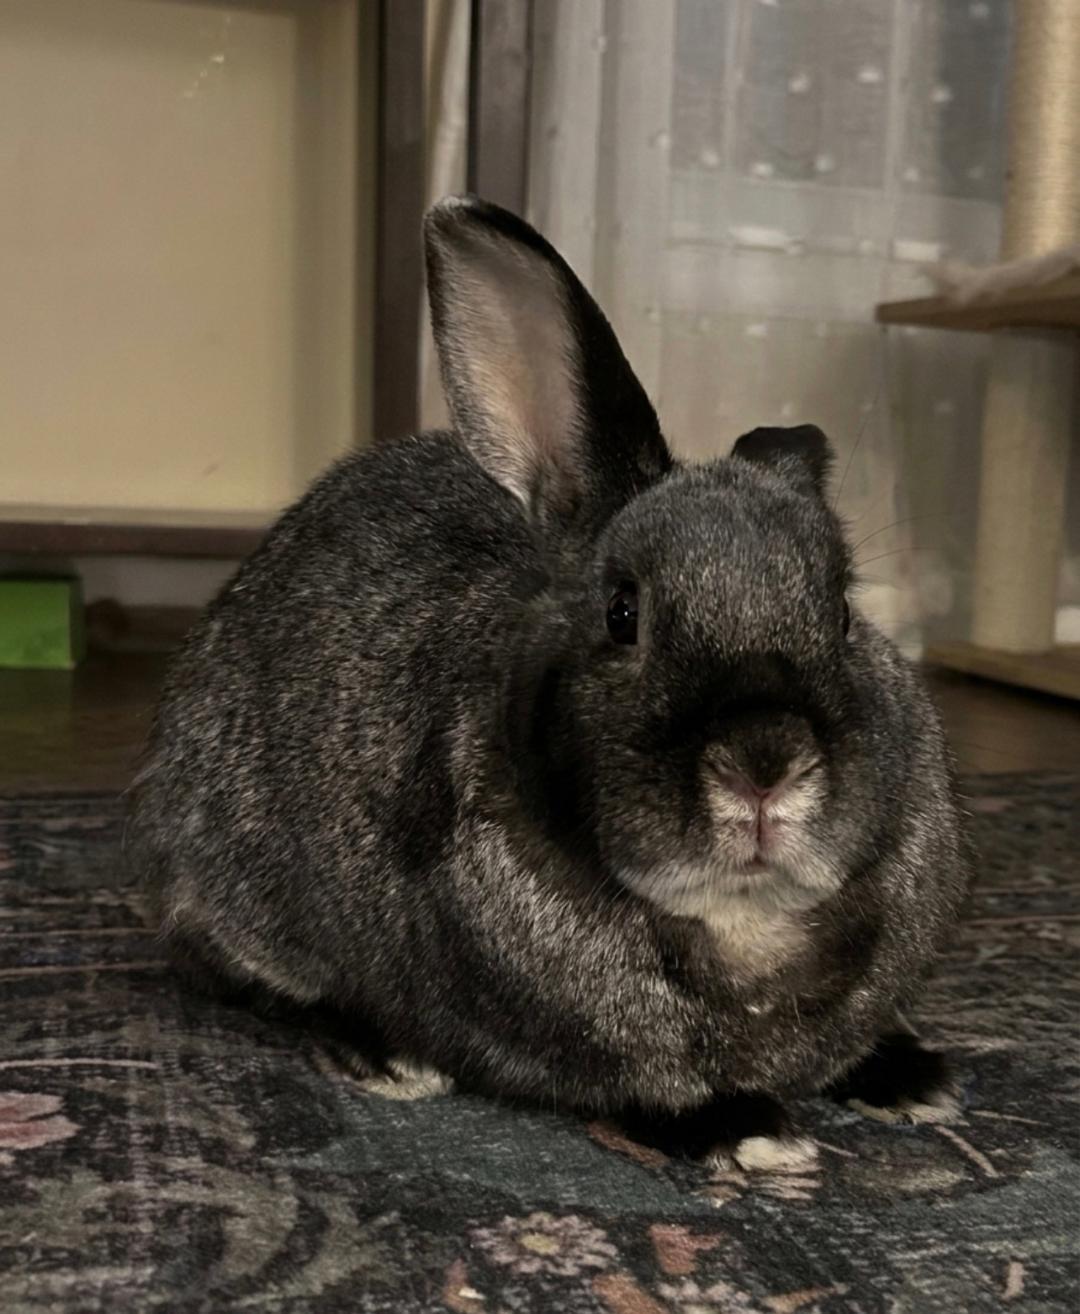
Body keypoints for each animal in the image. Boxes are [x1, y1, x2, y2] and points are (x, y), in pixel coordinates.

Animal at [128, 196, 972, 1169]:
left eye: (840, 609)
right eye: (622, 613)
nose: (764, 764)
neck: (742, 922)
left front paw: (912, 1077)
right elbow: (636, 1087)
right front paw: (751, 1133)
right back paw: (387, 1057)